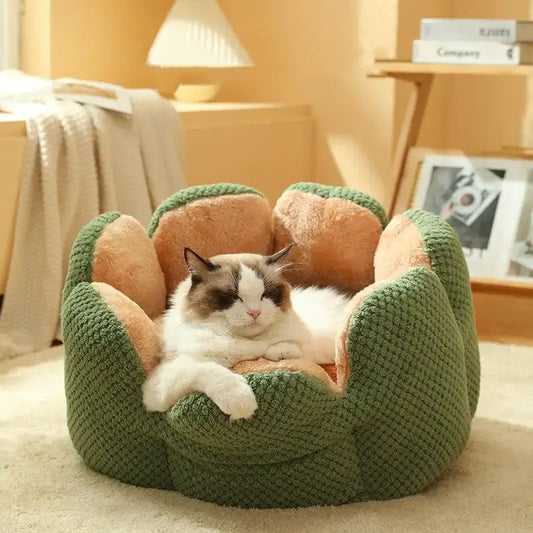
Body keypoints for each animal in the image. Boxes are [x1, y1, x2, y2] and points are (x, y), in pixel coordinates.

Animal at [141, 243, 352, 418]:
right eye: (234, 296)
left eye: (265, 295)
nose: (255, 312)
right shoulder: (161, 382)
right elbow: (207, 370)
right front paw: (240, 400)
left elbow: (290, 348)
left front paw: (277, 352)